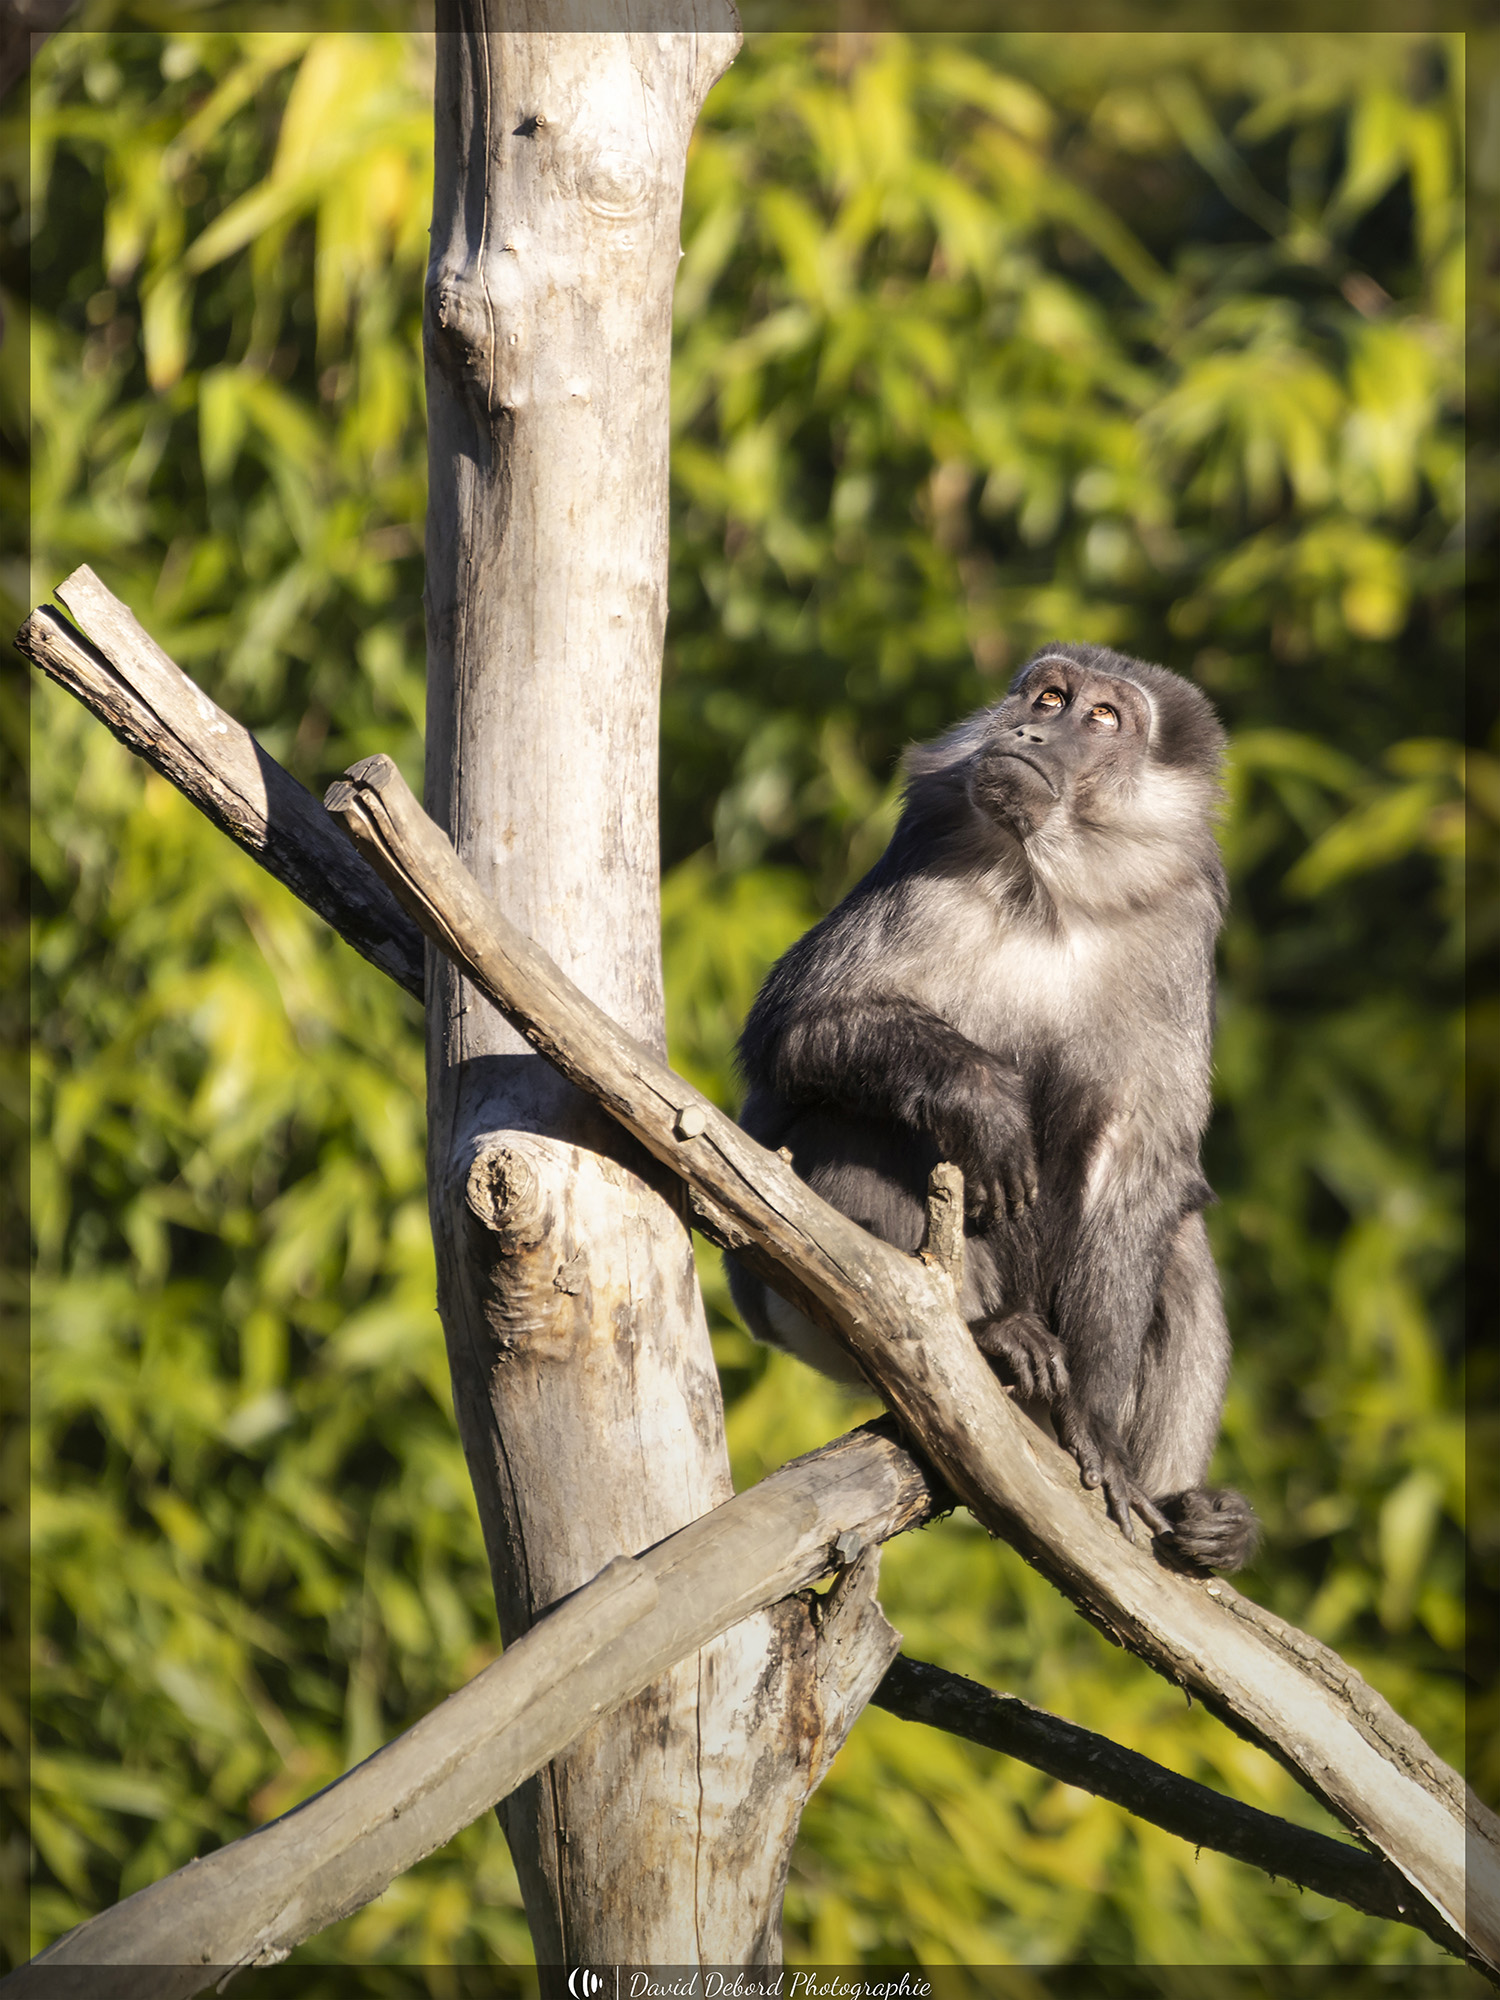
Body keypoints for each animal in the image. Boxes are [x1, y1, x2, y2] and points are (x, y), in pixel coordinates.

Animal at [727, 642, 1259, 1574]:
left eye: (1104, 717)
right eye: (1049, 696)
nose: (1032, 730)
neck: (1059, 892)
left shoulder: (1178, 930)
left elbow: (1143, 1168)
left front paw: (1100, 1426)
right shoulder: (928, 867)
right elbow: (796, 1030)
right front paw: (984, 1102)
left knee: (1179, 1239)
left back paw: (1196, 1516)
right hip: (796, 1315)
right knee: (850, 1126)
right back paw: (985, 1333)